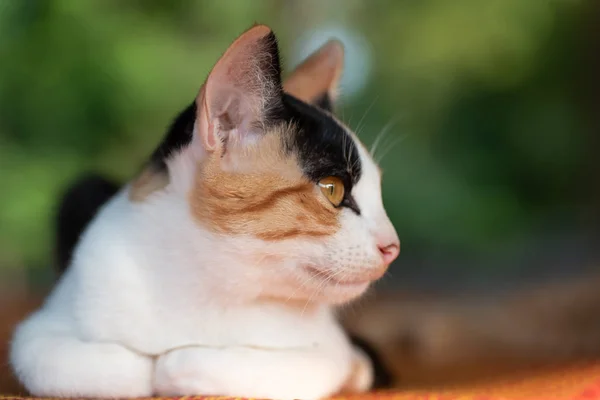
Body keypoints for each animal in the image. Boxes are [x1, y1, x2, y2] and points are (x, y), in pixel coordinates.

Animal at [8, 25, 398, 400]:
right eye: (333, 190)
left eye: (378, 191)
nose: (392, 247)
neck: (212, 283)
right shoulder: (37, 333)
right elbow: (88, 366)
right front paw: (144, 369)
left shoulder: (327, 350)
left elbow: (197, 363)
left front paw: (170, 366)